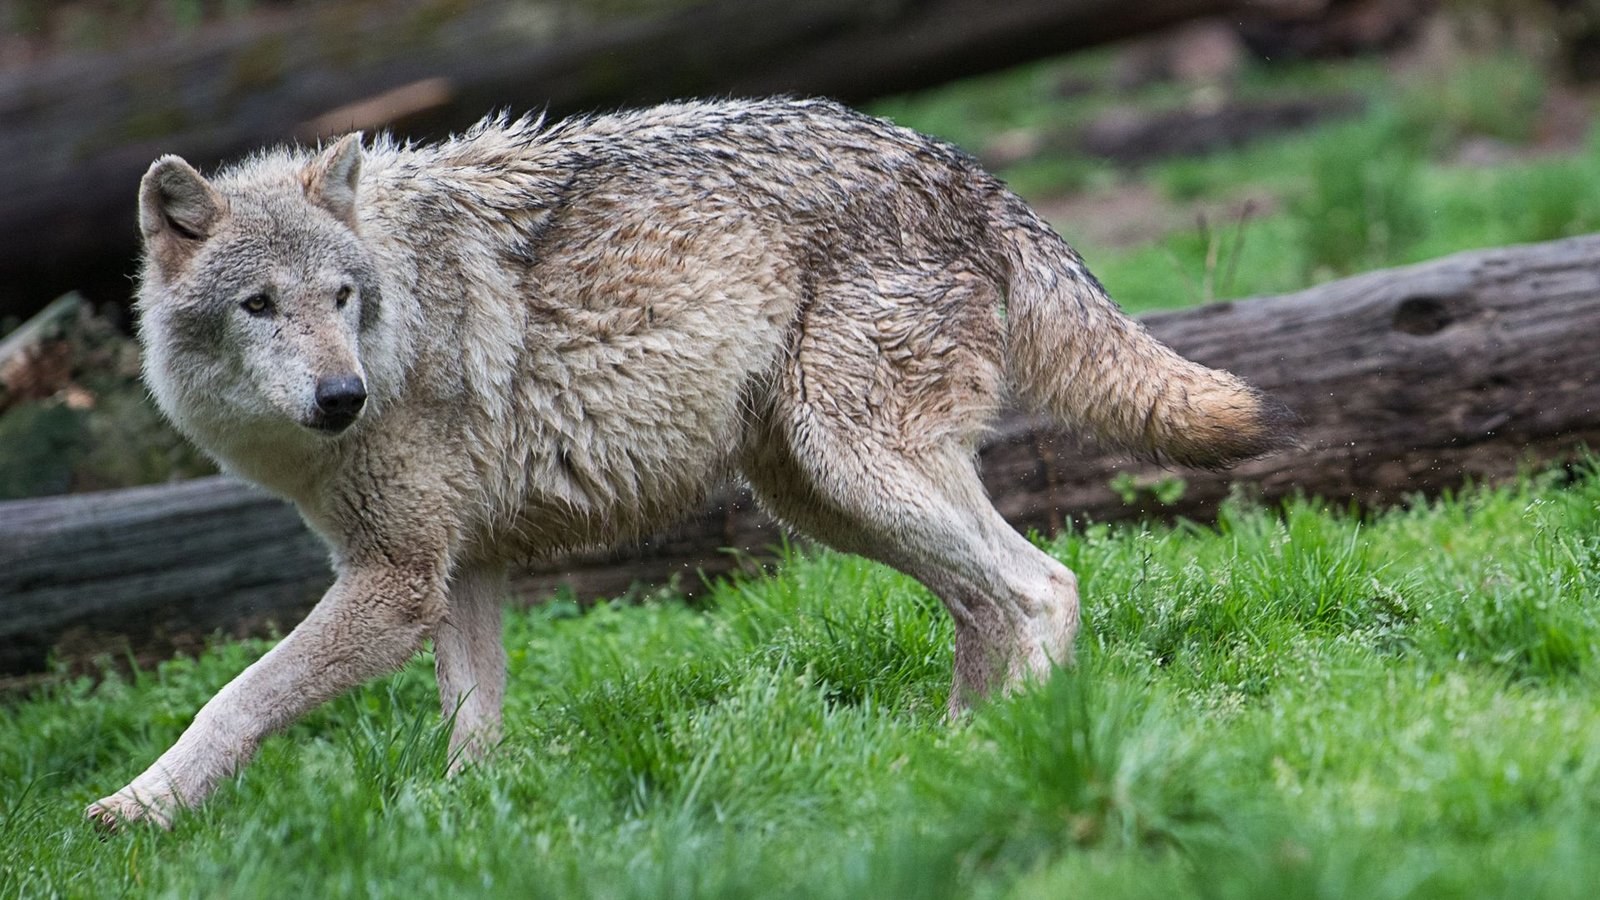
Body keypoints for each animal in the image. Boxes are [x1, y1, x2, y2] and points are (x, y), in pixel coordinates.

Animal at [88, 97, 1291, 828]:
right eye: (260, 305)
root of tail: (956, 164)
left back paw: (1011, 759)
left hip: (853, 472)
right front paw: (468, 829)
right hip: (825, 498)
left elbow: (233, 700)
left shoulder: (393, 585)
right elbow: (471, 729)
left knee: (1044, 586)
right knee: (986, 605)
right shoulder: (459, 571)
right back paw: (949, 758)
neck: (398, 312)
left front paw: (134, 812)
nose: (343, 398)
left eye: (342, 297)